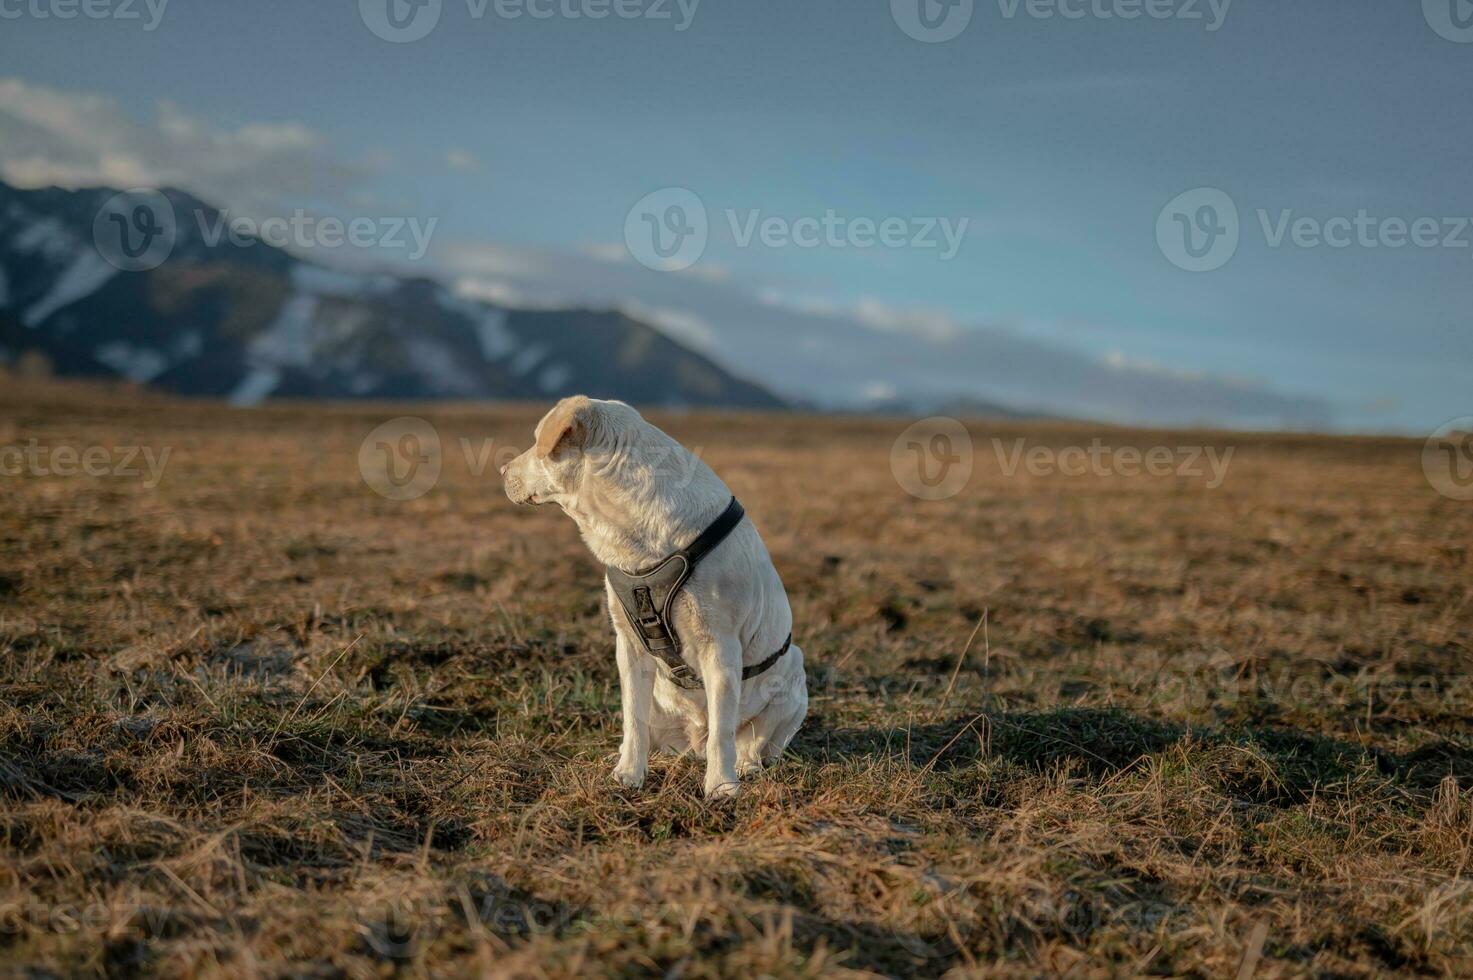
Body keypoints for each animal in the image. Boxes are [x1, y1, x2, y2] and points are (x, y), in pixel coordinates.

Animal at [503, 394, 807, 795]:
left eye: (539, 441)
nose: (502, 470)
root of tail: (693, 741)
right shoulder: (628, 644)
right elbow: (633, 718)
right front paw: (629, 773)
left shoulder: (720, 645)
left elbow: (723, 731)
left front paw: (721, 786)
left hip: (795, 677)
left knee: (751, 741)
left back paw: (745, 766)